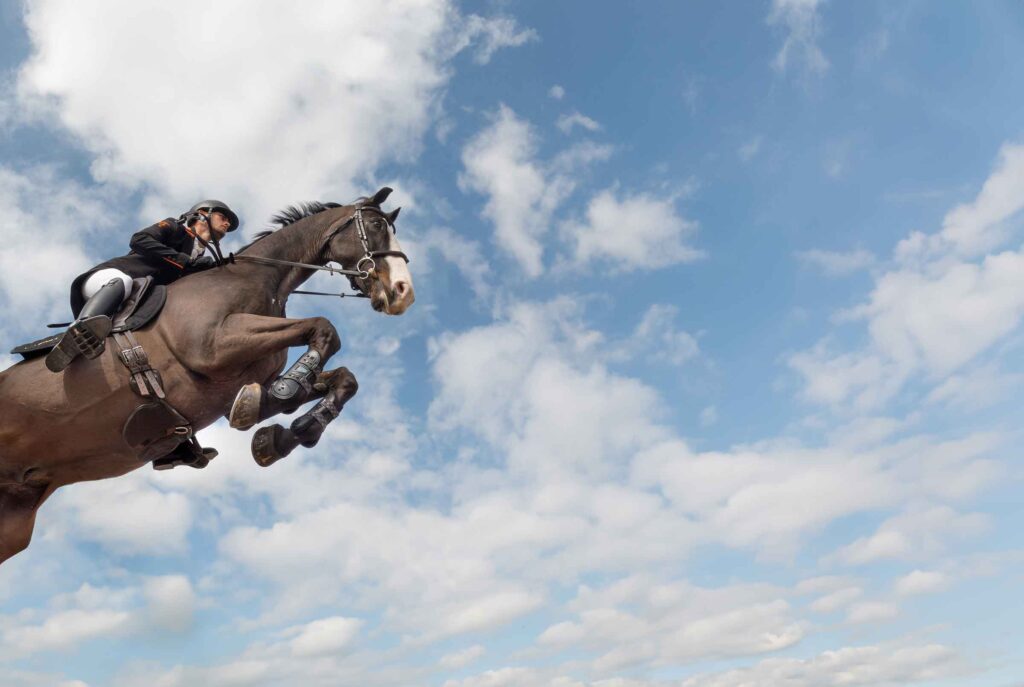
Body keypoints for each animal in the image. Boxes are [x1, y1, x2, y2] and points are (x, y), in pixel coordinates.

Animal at [0, 187, 414, 565]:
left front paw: (280, 432)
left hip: (14, 520)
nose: (403, 292)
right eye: (376, 226)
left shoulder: (244, 369)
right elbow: (325, 330)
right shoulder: (213, 345)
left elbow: (341, 379)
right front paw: (276, 401)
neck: (261, 276)